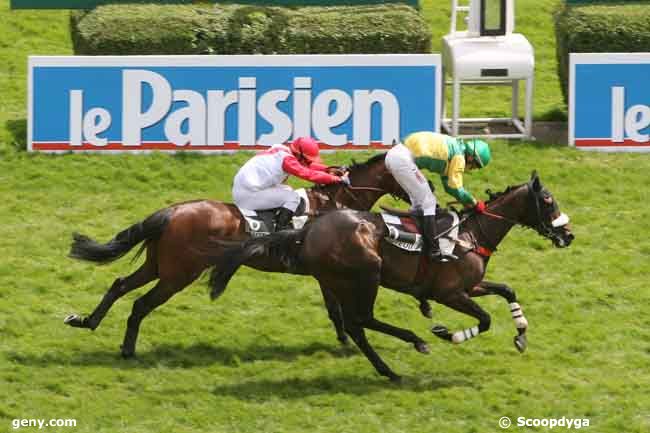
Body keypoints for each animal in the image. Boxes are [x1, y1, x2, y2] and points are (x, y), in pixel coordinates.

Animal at [63, 154, 408, 356]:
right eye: (408, 172)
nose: (419, 194)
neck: (334, 206)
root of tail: (172, 212)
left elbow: (333, 309)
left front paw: (344, 340)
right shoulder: (328, 273)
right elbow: (335, 308)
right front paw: (348, 342)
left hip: (158, 266)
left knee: (120, 285)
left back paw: (87, 321)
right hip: (178, 275)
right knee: (141, 303)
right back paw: (127, 349)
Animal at [209, 170, 572, 380]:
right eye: (547, 200)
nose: (568, 235)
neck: (471, 235)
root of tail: (308, 229)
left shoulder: (471, 286)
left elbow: (508, 290)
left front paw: (521, 335)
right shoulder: (450, 293)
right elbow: (484, 320)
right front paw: (446, 333)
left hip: (337, 281)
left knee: (354, 325)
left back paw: (387, 368)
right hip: (365, 275)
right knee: (361, 320)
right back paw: (414, 343)